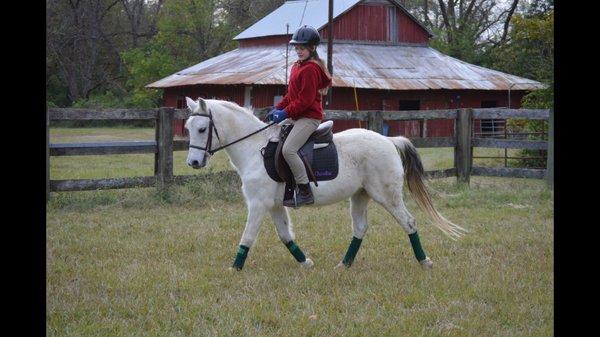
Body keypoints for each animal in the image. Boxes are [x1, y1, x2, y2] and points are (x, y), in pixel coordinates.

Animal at [185, 97, 466, 270]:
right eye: (188, 128)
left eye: (201, 129)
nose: (193, 162)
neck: (255, 149)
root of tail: (389, 140)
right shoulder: (274, 205)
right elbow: (285, 236)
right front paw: (306, 263)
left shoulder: (258, 204)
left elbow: (247, 237)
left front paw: (234, 268)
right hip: (360, 195)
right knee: (360, 228)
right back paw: (344, 265)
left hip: (387, 196)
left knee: (408, 223)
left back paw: (424, 261)